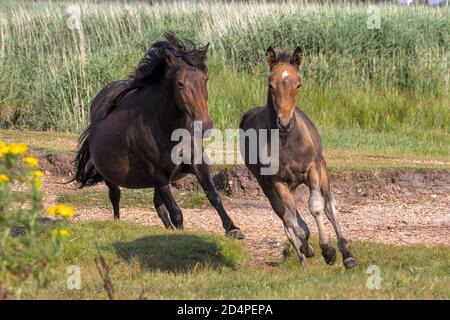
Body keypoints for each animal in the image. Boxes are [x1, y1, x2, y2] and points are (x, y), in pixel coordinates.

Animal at [74, 33, 244, 239]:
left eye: (205, 79)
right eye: (180, 84)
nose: (205, 125)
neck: (168, 129)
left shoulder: (198, 164)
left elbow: (213, 196)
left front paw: (233, 228)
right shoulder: (160, 176)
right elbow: (176, 212)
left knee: (157, 205)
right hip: (111, 175)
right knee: (116, 196)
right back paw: (117, 222)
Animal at [239, 47, 358, 268]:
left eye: (298, 84)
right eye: (270, 83)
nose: (284, 122)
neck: (286, 142)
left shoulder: (312, 169)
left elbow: (316, 207)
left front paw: (327, 250)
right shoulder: (276, 181)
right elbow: (294, 222)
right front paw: (311, 248)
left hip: (322, 171)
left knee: (330, 207)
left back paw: (347, 255)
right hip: (271, 186)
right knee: (287, 217)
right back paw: (305, 254)